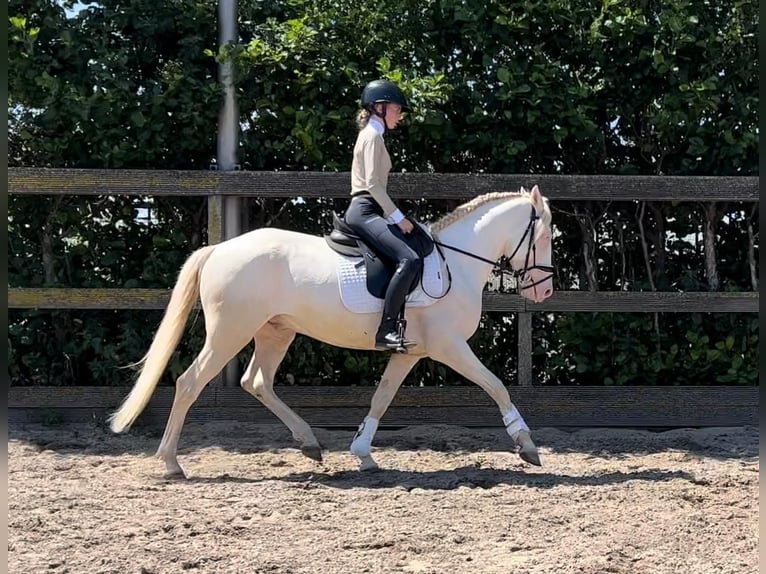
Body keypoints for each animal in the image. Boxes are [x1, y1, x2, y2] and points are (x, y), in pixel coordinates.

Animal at [109, 184, 552, 476]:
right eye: (545, 235)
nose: (545, 290)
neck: (455, 262)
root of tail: (219, 248)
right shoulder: (449, 346)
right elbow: (496, 385)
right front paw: (527, 445)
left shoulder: (410, 352)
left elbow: (381, 398)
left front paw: (363, 453)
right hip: (230, 332)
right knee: (190, 382)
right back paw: (170, 462)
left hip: (274, 332)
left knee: (257, 382)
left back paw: (309, 443)